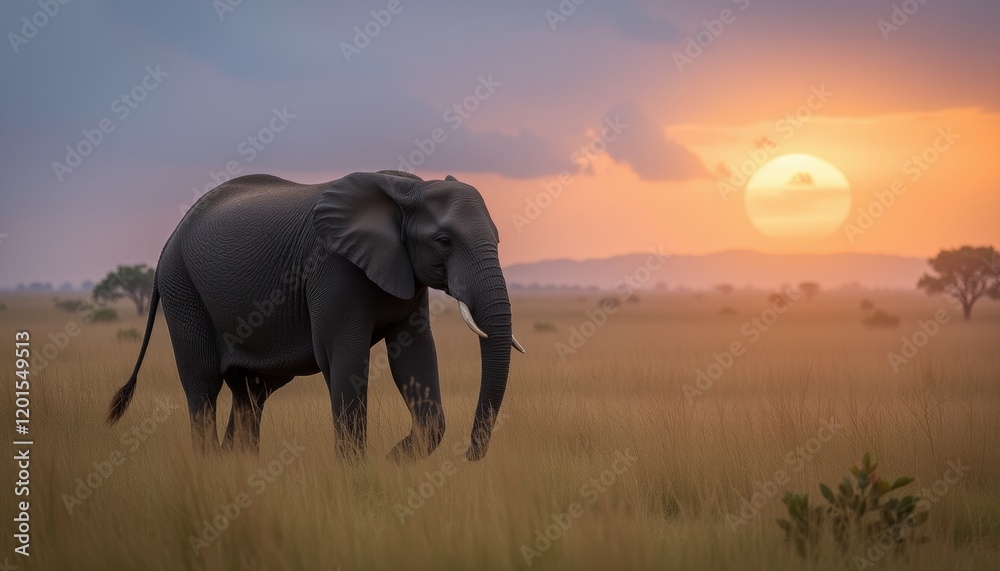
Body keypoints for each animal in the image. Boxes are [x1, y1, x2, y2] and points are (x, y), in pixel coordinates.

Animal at [106, 170, 523, 462]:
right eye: (444, 242)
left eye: (499, 239)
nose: (470, 455)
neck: (408, 187)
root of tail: (168, 242)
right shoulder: (332, 271)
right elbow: (345, 359)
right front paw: (359, 474)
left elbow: (414, 357)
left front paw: (393, 463)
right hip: (183, 289)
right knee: (203, 385)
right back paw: (209, 466)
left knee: (251, 393)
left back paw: (236, 466)